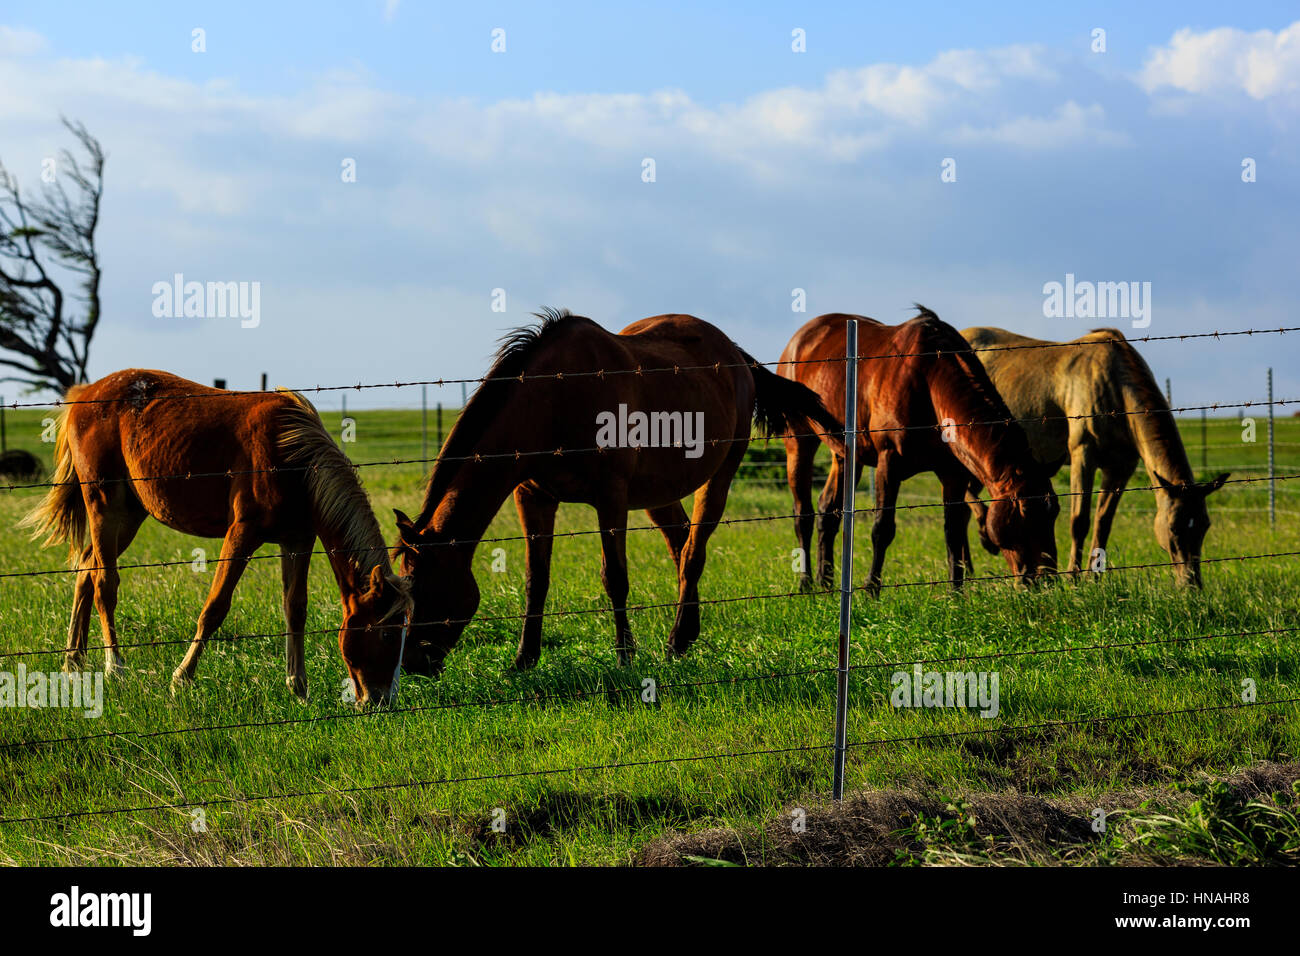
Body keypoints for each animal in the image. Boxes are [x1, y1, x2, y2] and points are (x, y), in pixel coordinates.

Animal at [22, 369, 413, 707]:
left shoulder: (298, 540)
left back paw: (73, 661)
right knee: (105, 582)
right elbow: (215, 607)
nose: (382, 700)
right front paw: (181, 678)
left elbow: (295, 609)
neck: (291, 454)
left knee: (86, 570)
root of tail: (84, 393)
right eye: (387, 634)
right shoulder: (241, 533)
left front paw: (299, 687)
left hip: (129, 515)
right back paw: (114, 668)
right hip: (104, 505)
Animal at [390, 310, 847, 676]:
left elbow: (615, 577)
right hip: (659, 494)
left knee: (693, 552)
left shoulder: (610, 499)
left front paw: (626, 656)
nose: (411, 664)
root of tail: (735, 356)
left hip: (718, 477)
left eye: (423, 588)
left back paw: (676, 640)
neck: (554, 400)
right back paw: (687, 634)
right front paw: (523, 659)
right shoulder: (533, 498)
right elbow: (536, 579)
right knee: (681, 544)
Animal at [774, 306, 1060, 595]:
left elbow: (953, 530)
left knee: (827, 511)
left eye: (1054, 514)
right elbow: (883, 528)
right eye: (1026, 514)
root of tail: (802, 336)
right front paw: (871, 589)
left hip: (845, 456)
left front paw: (956, 592)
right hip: (798, 441)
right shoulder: (889, 462)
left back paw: (826, 582)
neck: (929, 381)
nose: (1047, 580)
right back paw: (806, 583)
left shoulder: (953, 473)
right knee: (803, 513)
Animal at [956, 325, 1227, 587]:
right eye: (1173, 527)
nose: (1191, 584)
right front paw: (1072, 578)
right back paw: (983, 537)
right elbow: (1079, 521)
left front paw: (1094, 577)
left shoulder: (1121, 468)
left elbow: (1103, 522)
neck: (1114, 385)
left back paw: (967, 569)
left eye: (1204, 525)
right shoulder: (1083, 456)